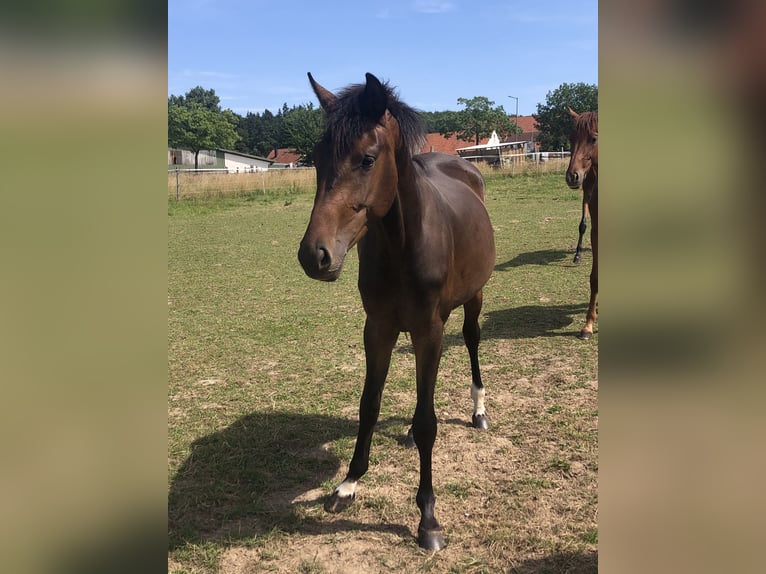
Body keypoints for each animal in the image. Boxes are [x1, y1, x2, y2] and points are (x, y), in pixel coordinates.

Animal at [296, 73, 496, 552]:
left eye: (367, 159)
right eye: (317, 158)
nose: (314, 256)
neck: (404, 241)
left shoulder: (429, 331)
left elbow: (427, 423)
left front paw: (428, 518)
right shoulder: (379, 329)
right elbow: (369, 405)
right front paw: (348, 484)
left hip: (473, 299)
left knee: (473, 341)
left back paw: (479, 410)